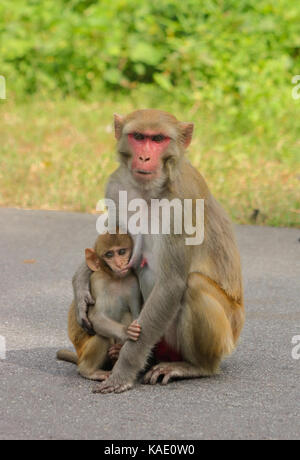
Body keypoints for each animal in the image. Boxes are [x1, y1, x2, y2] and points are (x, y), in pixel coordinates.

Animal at [56, 230, 142, 380]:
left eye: (122, 251)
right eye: (109, 255)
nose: (119, 263)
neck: (116, 279)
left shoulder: (133, 283)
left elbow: (136, 314)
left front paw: (120, 348)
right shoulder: (98, 281)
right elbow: (96, 317)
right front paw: (127, 332)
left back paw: (116, 354)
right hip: (84, 352)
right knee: (103, 336)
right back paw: (88, 371)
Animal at [72, 108, 244, 392]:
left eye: (158, 139)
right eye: (139, 137)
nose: (144, 156)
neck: (151, 191)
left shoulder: (183, 204)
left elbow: (172, 283)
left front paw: (122, 374)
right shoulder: (116, 187)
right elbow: (107, 239)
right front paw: (81, 287)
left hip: (224, 337)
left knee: (194, 285)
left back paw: (195, 367)